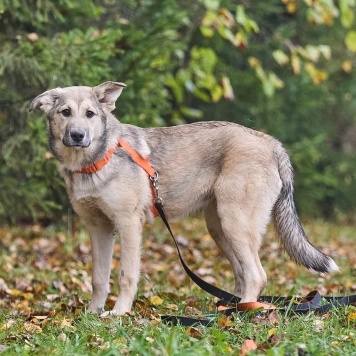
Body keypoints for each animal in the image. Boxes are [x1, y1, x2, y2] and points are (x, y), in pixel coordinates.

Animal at [29, 82, 338, 316]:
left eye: (90, 114)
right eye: (65, 112)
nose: (77, 135)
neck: (95, 162)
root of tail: (270, 141)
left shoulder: (128, 225)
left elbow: (126, 275)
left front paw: (118, 313)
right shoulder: (99, 229)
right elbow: (98, 278)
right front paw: (93, 313)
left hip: (235, 223)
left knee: (256, 274)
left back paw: (241, 313)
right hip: (219, 228)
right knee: (242, 273)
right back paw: (227, 308)